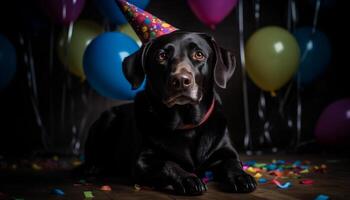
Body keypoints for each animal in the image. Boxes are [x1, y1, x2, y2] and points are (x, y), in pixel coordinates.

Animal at [82, 30, 258, 195]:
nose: (180, 81)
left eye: (199, 54)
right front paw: (188, 178)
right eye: (162, 56)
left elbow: (232, 163)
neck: (187, 124)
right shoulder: (142, 161)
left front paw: (240, 177)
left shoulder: (226, 151)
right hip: (107, 120)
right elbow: (168, 164)